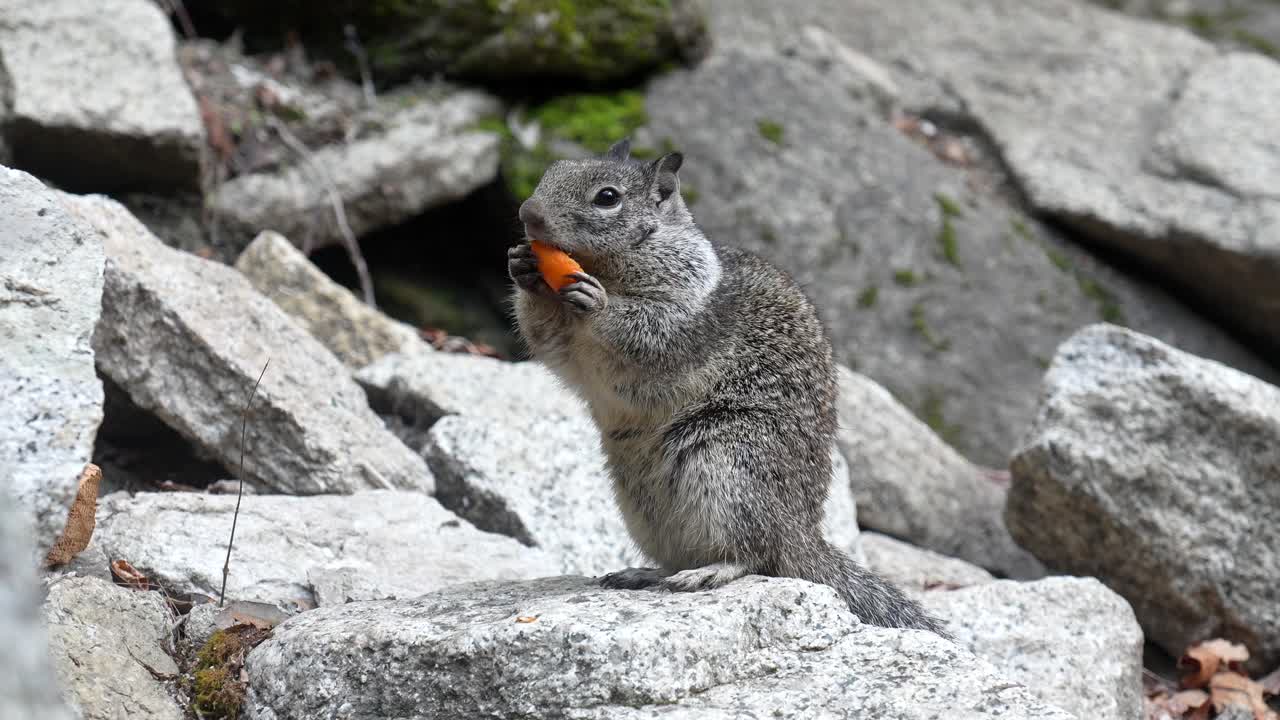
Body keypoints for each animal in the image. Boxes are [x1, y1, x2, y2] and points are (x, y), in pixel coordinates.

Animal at [508, 139, 948, 636]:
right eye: (554, 170)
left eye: (607, 197)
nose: (527, 213)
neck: (607, 267)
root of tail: (803, 536)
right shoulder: (565, 341)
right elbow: (546, 339)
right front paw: (524, 268)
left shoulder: (686, 318)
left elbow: (647, 332)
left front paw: (596, 300)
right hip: (642, 503)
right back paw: (646, 573)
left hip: (728, 463)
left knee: (756, 554)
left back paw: (710, 572)